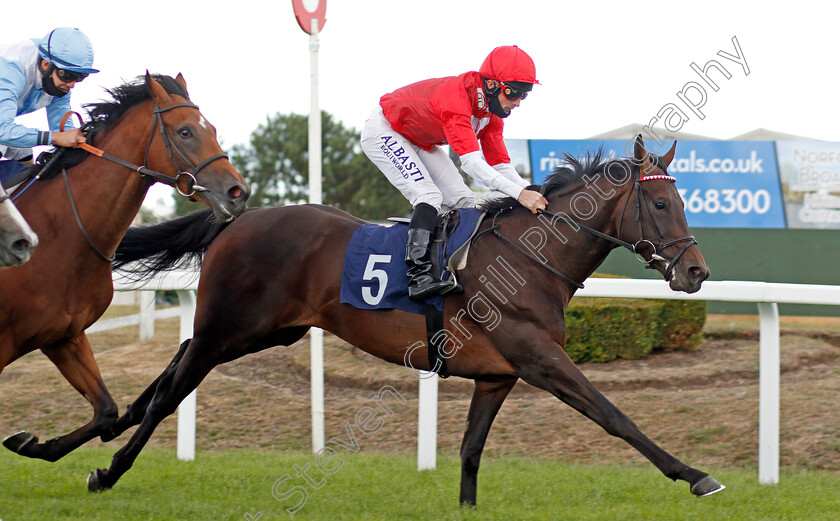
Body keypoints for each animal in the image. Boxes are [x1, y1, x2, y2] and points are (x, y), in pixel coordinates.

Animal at [0, 72, 249, 460]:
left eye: (212, 128)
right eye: (185, 132)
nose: (238, 193)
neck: (59, 233)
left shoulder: (64, 335)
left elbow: (105, 412)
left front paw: (31, 443)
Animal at [88, 136, 724, 502]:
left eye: (683, 201)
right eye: (661, 204)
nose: (697, 271)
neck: (529, 256)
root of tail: (236, 219)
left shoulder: (497, 376)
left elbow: (470, 452)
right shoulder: (540, 359)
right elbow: (614, 415)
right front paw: (695, 475)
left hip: (265, 331)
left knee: (173, 365)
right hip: (230, 326)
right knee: (171, 391)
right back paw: (108, 470)